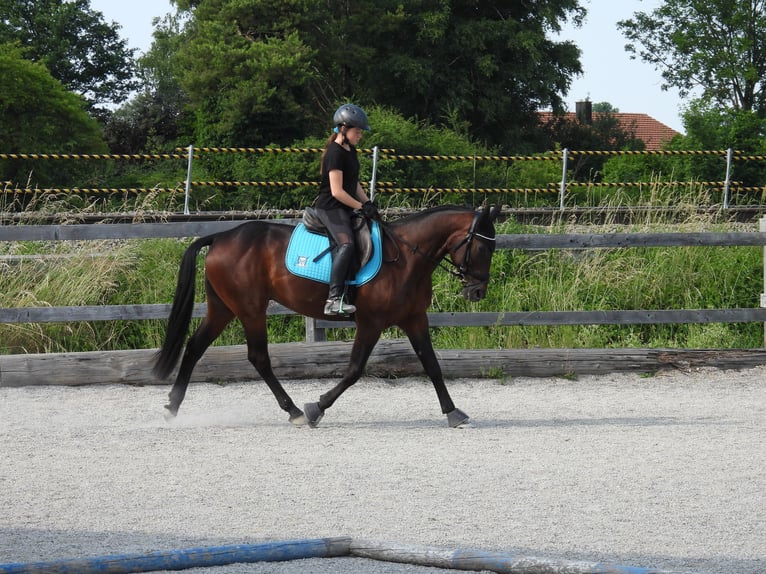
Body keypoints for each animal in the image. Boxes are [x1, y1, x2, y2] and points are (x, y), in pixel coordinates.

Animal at [154, 204, 508, 428]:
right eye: (484, 248)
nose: (478, 291)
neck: (408, 258)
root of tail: (222, 236)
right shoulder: (371, 322)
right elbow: (353, 370)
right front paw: (317, 408)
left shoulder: (414, 318)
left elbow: (432, 365)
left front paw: (453, 412)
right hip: (250, 309)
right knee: (258, 357)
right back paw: (295, 411)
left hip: (224, 307)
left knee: (195, 346)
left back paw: (172, 406)